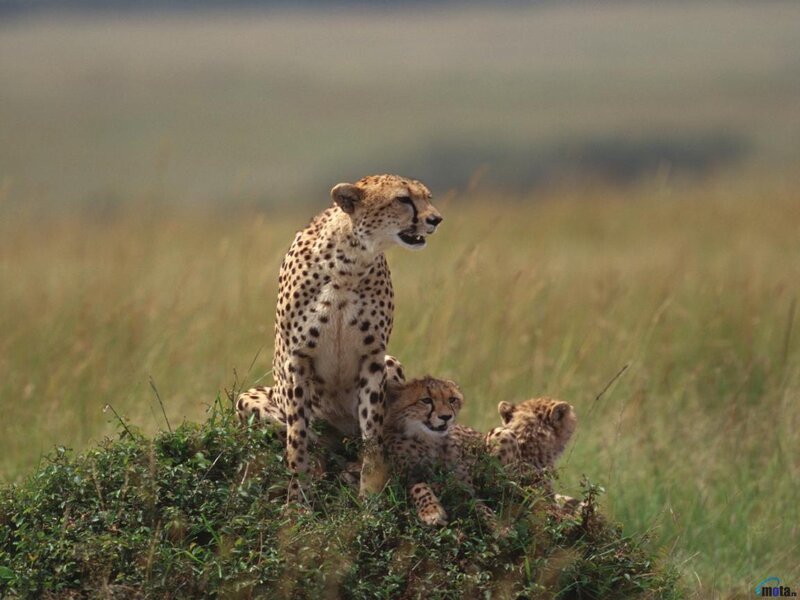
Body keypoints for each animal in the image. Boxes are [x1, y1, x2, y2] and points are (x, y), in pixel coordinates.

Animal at [262, 175, 442, 503]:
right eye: (403, 199)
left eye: (427, 197)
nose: (436, 219)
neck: (348, 264)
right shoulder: (297, 359)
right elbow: (297, 437)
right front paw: (298, 500)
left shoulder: (373, 357)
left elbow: (372, 429)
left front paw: (370, 491)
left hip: (391, 364)